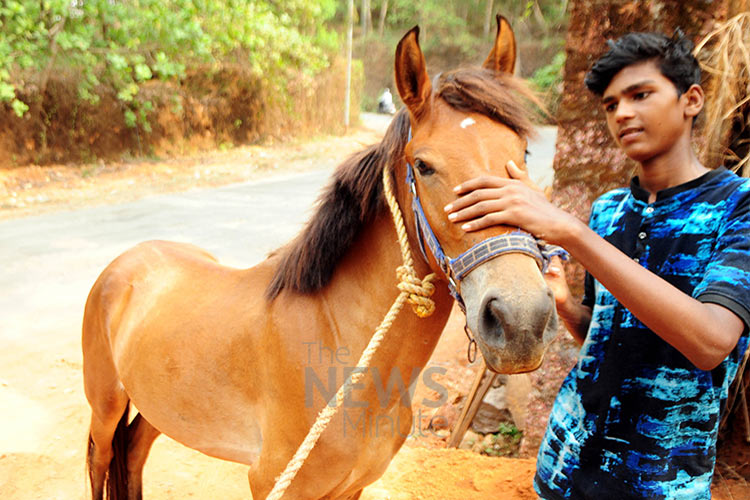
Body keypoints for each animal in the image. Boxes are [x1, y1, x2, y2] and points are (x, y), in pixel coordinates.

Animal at [82, 16, 559, 500]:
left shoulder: (350, 488)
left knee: (133, 453)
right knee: (100, 460)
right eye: (424, 166)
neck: (336, 344)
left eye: (522, 152)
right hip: (105, 405)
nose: (521, 320)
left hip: (156, 408)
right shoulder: (272, 482)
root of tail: (127, 261)